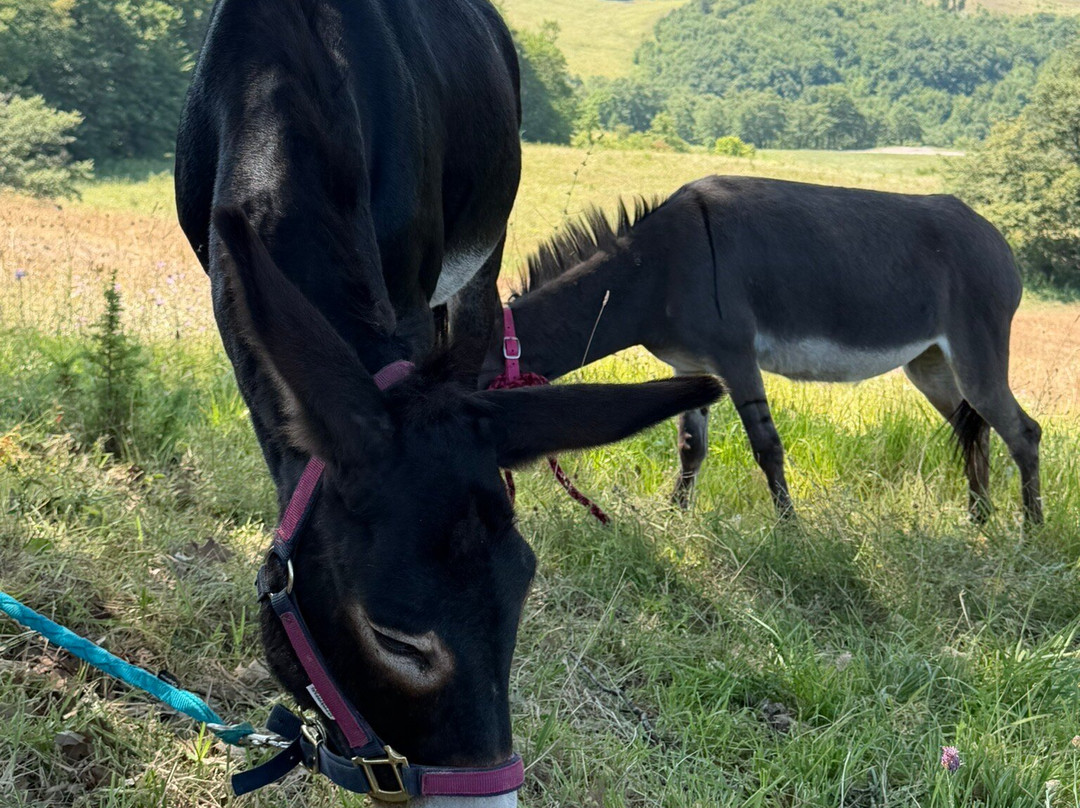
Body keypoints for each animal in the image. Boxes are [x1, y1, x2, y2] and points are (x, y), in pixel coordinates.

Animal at [479, 175, 1043, 526]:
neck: (656, 267)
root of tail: (997, 241)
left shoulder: (735, 356)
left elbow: (767, 445)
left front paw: (790, 529)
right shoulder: (690, 363)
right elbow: (691, 447)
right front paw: (675, 517)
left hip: (975, 350)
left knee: (1022, 432)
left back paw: (1028, 531)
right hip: (929, 365)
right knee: (974, 428)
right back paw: (979, 520)